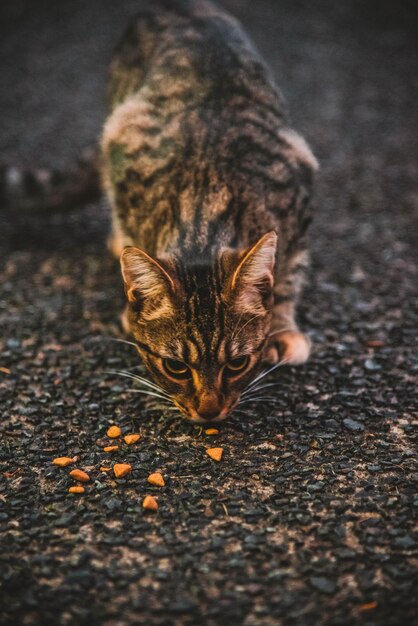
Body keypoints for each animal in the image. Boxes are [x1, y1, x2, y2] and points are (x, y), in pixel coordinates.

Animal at [99, 0, 318, 422]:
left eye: (237, 364)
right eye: (175, 367)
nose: (209, 411)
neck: (204, 206)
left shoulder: (298, 182)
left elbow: (289, 275)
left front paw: (281, 326)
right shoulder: (122, 149)